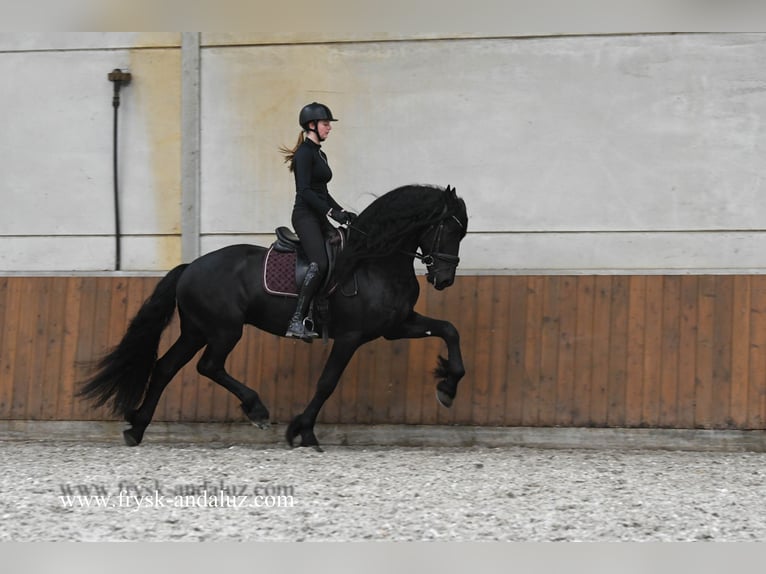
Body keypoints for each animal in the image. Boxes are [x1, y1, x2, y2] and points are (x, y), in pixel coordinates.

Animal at [78, 184, 468, 451]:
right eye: (450, 229)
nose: (444, 280)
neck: (374, 260)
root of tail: (191, 266)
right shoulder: (350, 337)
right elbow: (327, 382)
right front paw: (303, 430)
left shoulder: (397, 326)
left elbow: (449, 330)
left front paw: (448, 388)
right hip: (224, 330)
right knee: (208, 366)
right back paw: (256, 410)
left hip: (197, 330)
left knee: (165, 368)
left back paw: (137, 428)